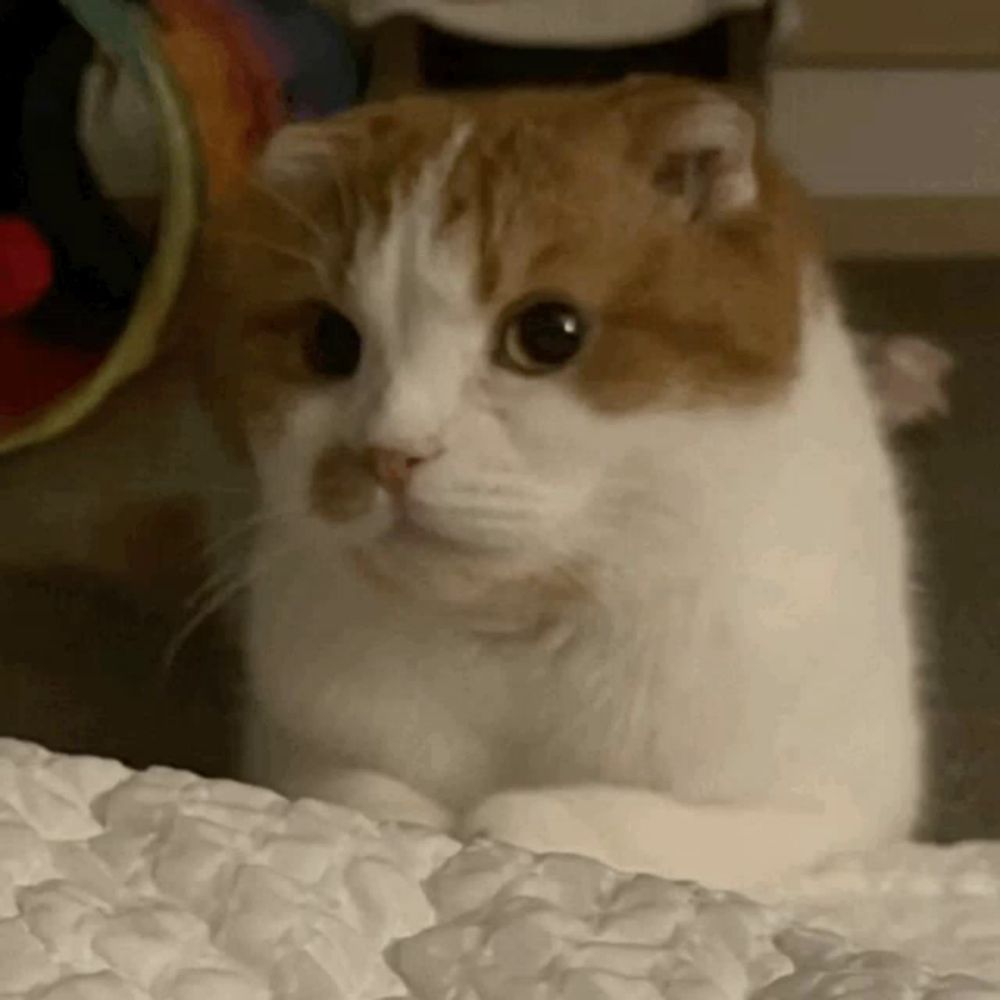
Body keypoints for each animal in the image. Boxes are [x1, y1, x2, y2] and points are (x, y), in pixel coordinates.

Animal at [184, 76, 924, 892]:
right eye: (330, 342)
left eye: (548, 333)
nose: (391, 454)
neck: (515, 636)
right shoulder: (290, 749)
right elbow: (357, 799)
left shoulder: (831, 805)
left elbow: (625, 826)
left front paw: (523, 818)